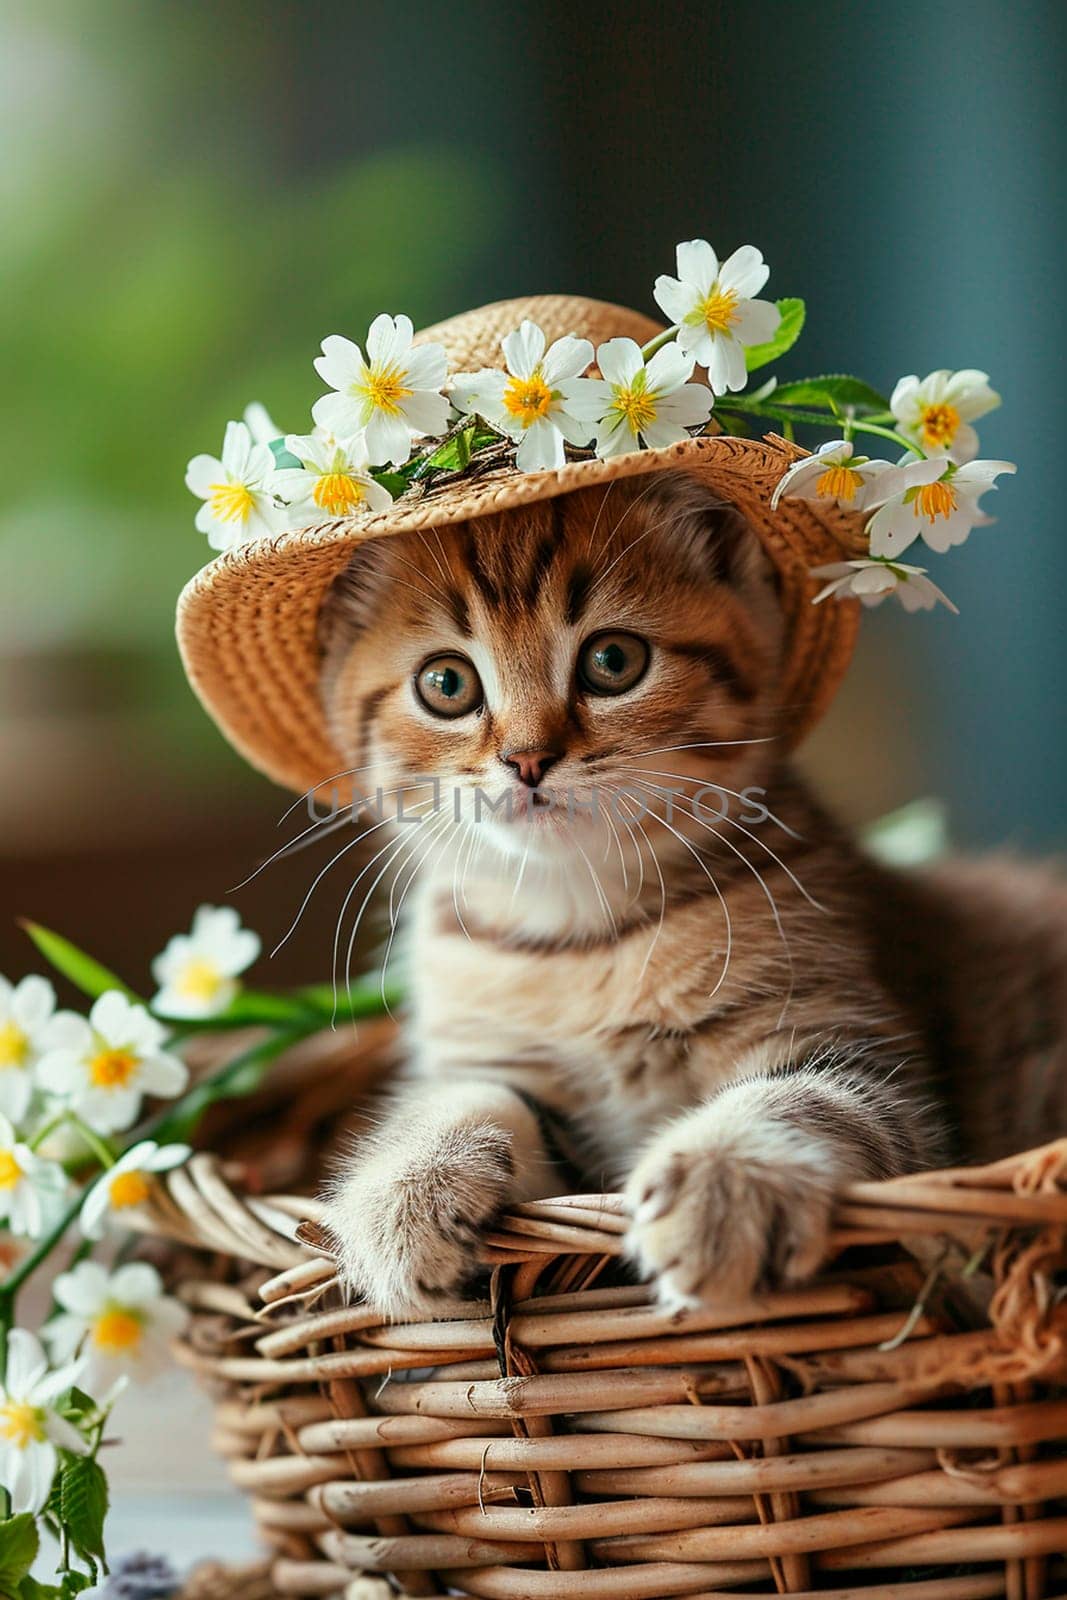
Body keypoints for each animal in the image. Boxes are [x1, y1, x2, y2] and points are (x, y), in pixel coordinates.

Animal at [315, 470, 1067, 1312]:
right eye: (446, 683)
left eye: (613, 660)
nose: (527, 759)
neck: (578, 936)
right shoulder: (496, 1059)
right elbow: (461, 1096)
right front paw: (405, 1184)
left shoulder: (864, 1054)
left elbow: (802, 1096)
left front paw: (724, 1178)